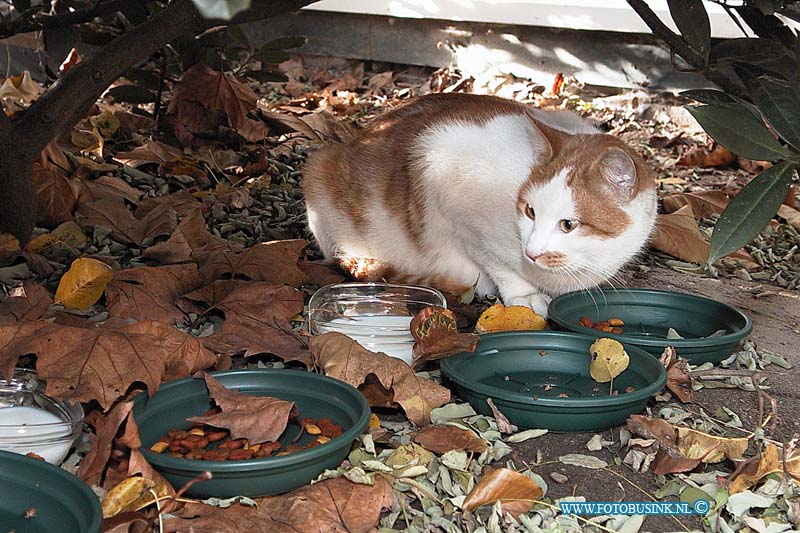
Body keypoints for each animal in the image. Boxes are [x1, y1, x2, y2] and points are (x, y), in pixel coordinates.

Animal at [302, 93, 656, 316]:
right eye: (530, 211)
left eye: (568, 225)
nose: (532, 252)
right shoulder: (443, 178)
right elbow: (496, 261)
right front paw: (523, 294)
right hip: (319, 169)